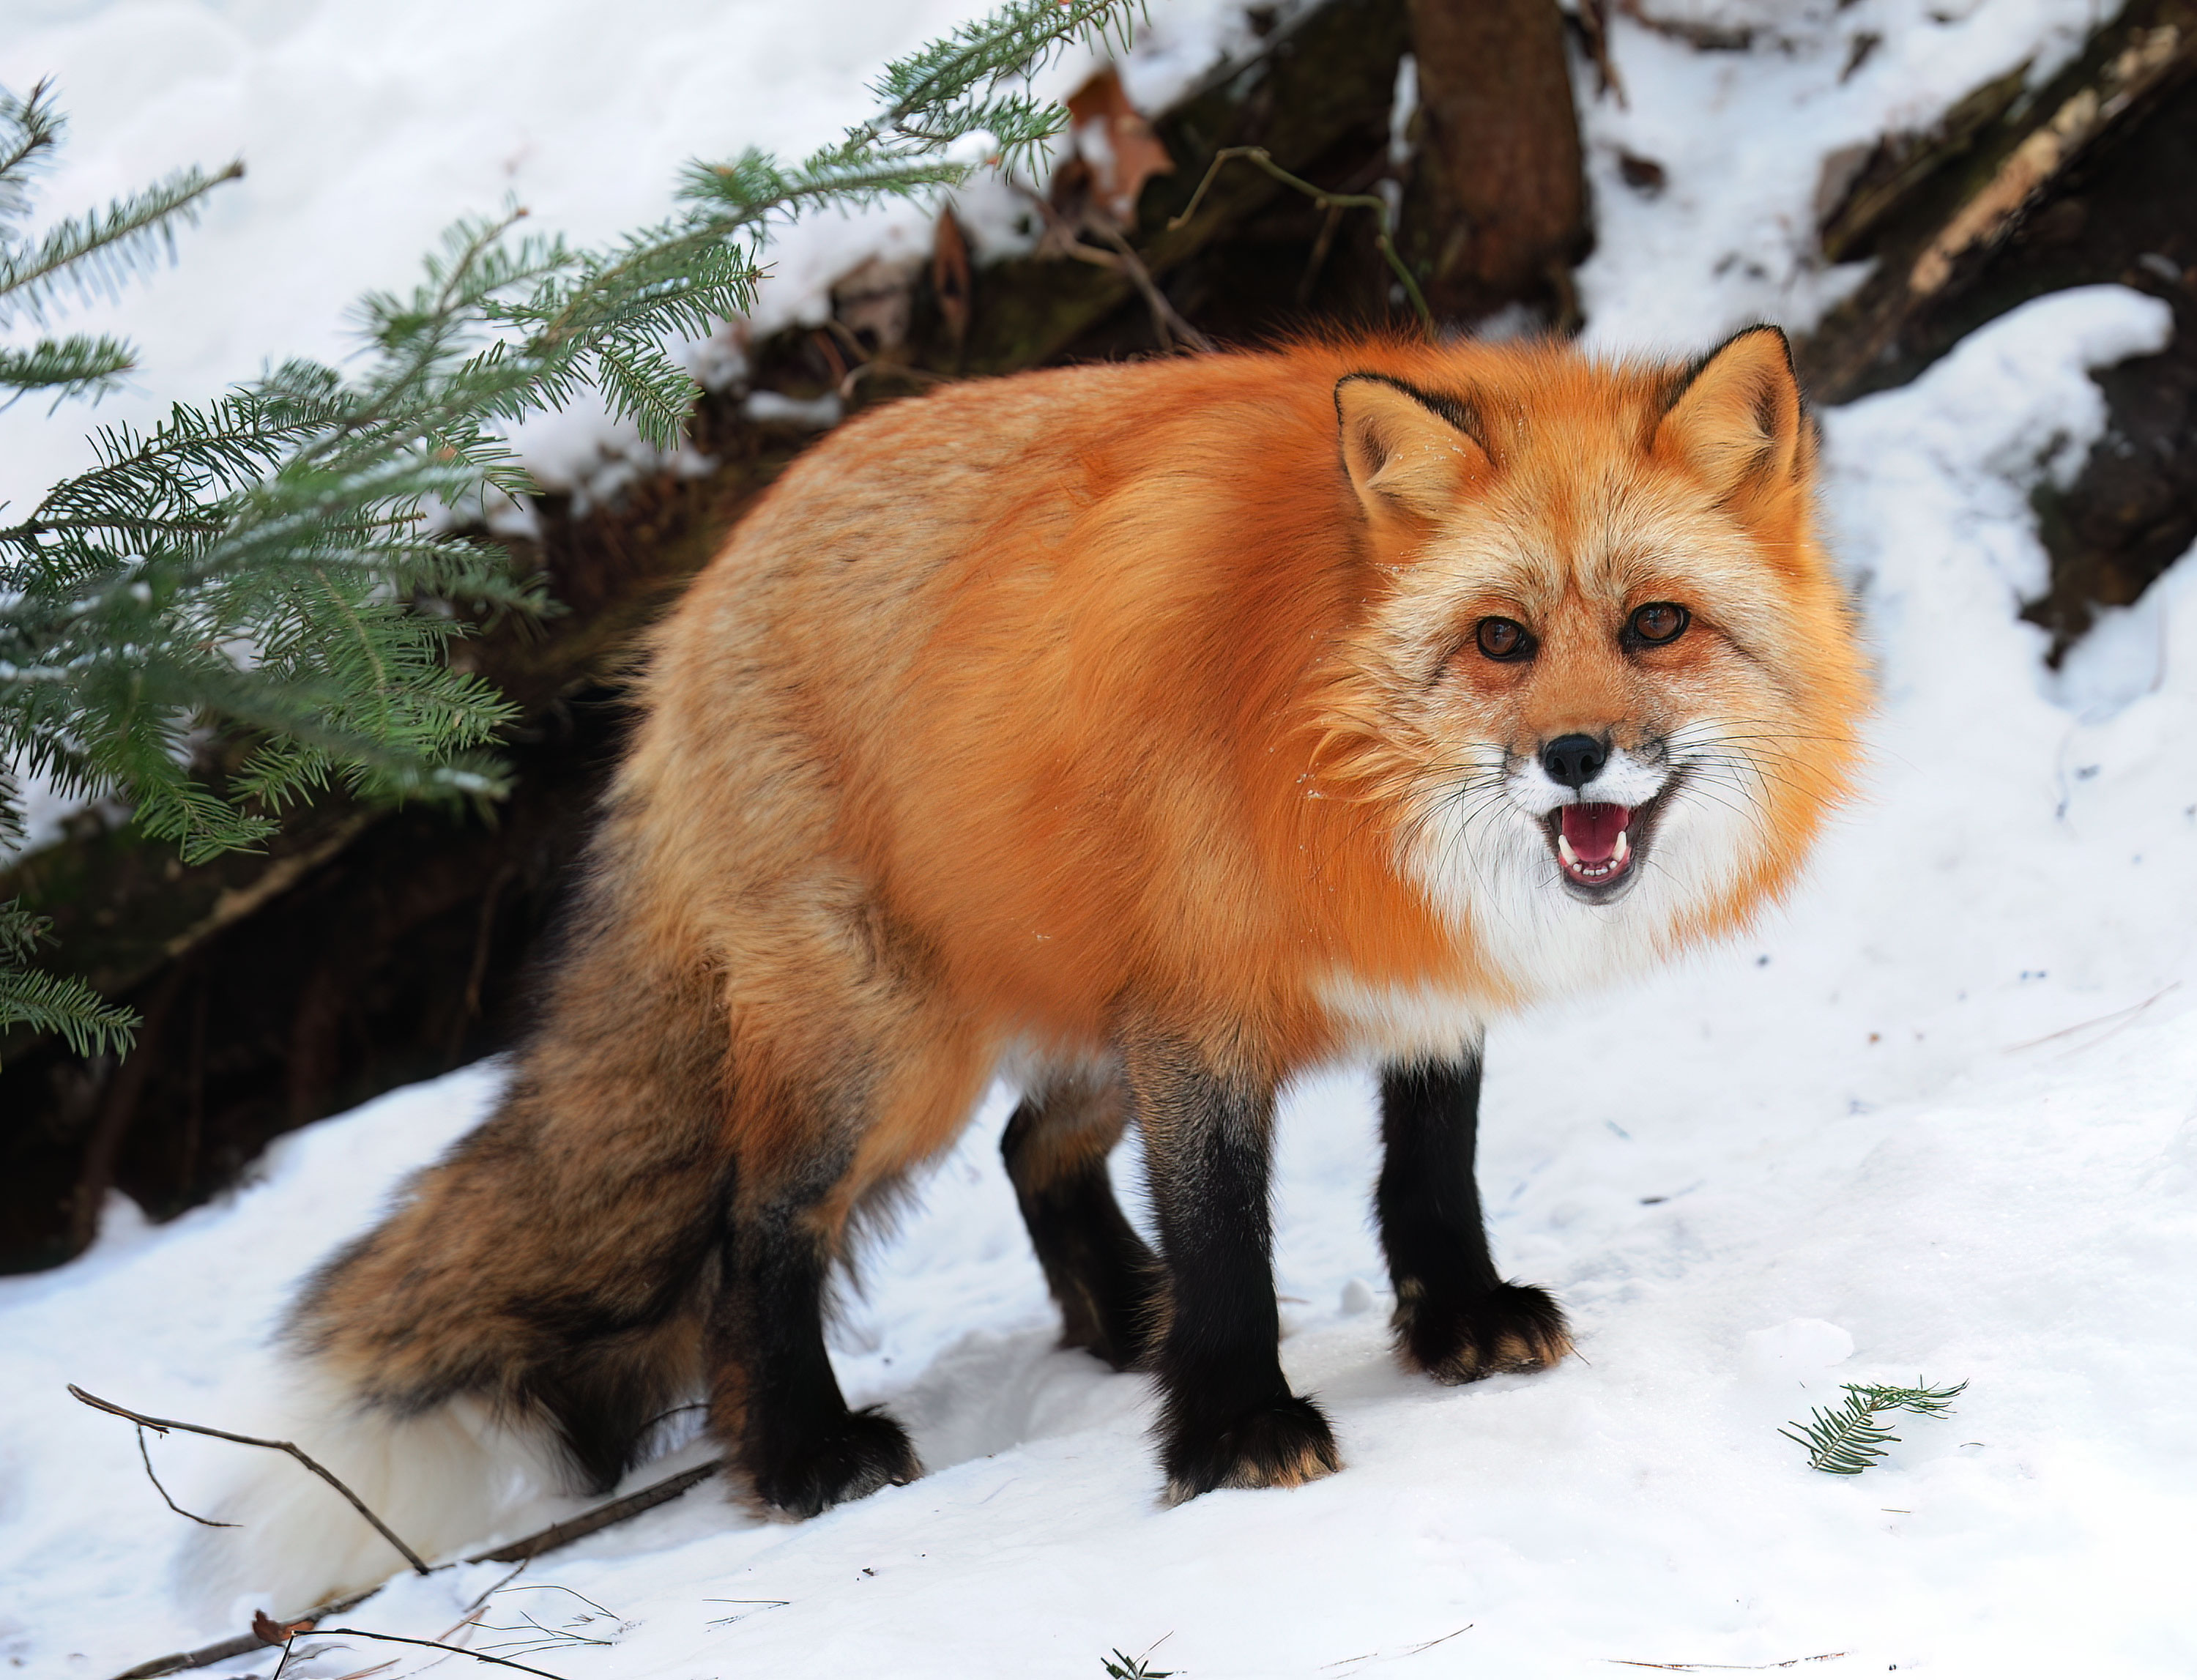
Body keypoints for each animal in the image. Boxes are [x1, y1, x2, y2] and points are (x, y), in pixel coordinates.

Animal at [202, 327, 1864, 1611]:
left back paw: (1116, 1320)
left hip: (1075, 1015)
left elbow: (1430, 1167)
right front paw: (1233, 1433)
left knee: (1028, 1148)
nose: (1577, 755)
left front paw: (1454, 1322)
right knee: (758, 1227)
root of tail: (700, 596)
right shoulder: (1204, 1007)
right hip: (887, 1050)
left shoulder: (1409, 976)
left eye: (1656, 623)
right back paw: (806, 1456)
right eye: (1503, 639)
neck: (1323, 726)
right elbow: (1227, 1234)